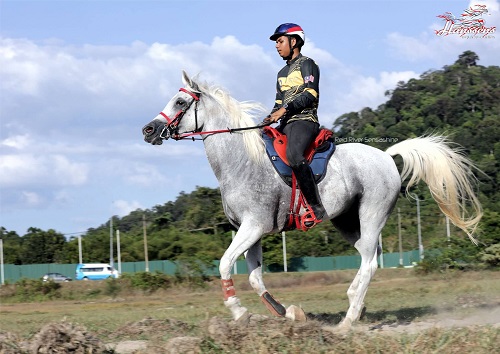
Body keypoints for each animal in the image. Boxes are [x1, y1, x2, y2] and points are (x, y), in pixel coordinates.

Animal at [140, 70, 480, 330]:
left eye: (180, 101)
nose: (148, 130)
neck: (241, 162)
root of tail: (386, 155)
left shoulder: (253, 226)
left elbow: (225, 265)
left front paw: (240, 312)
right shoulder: (250, 231)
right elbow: (255, 278)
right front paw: (288, 313)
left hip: (373, 214)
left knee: (370, 262)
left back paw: (348, 320)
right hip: (347, 222)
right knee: (367, 258)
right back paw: (356, 303)